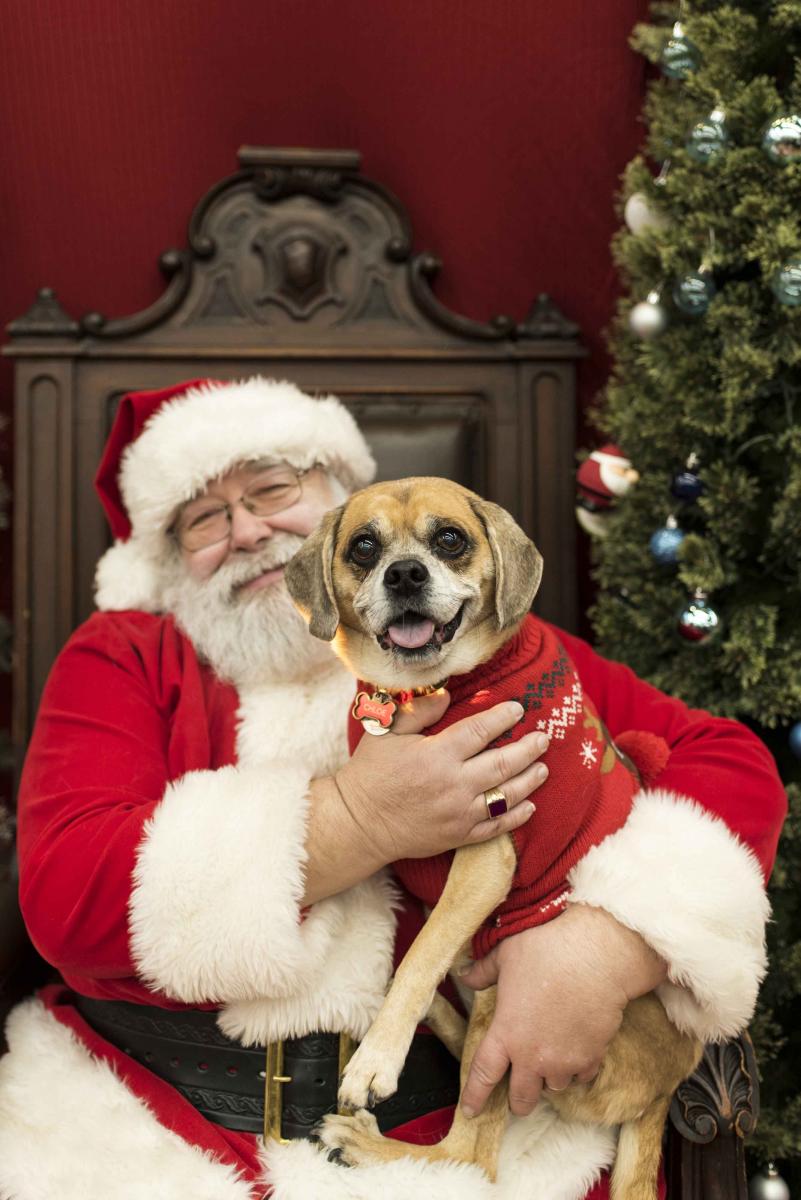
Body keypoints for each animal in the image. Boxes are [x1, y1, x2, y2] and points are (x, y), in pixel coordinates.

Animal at [282, 477, 700, 1200]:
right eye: (363, 547)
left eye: (450, 539)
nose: (405, 573)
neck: (426, 694)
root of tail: (665, 1089)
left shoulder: (485, 856)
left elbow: (420, 956)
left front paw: (377, 1058)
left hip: (514, 1005)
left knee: (471, 1158)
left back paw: (368, 1140)